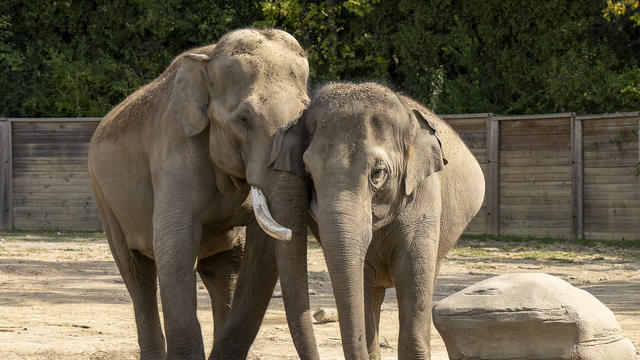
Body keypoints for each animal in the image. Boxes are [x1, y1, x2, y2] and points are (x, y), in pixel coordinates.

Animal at [90, 28, 320, 360]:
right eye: (244, 119)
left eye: (306, 118)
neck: (208, 61)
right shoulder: (176, 152)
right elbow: (175, 249)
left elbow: (263, 255)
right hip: (103, 198)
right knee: (137, 273)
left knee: (224, 269)